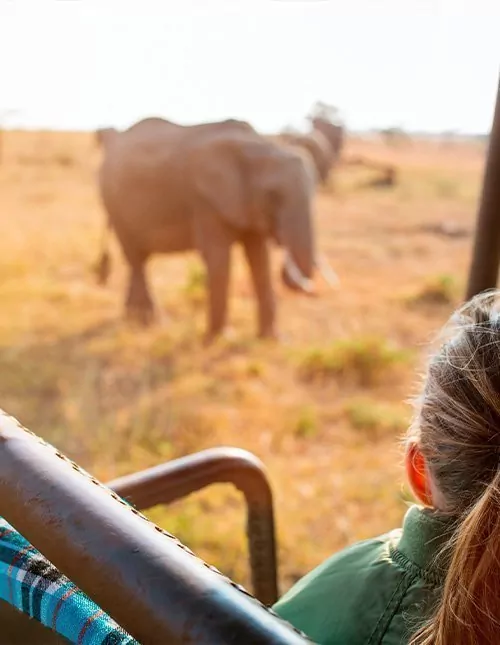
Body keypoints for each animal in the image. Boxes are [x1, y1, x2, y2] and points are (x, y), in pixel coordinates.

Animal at [94, 115, 328, 342]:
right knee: (135, 257)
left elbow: (260, 258)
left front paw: (273, 339)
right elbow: (219, 258)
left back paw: (132, 319)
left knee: (138, 260)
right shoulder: (204, 200)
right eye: (273, 196)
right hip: (114, 203)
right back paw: (151, 323)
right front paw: (222, 338)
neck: (256, 146)